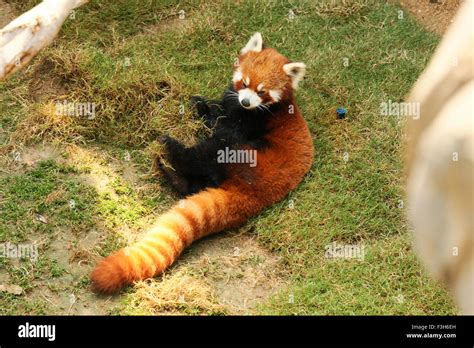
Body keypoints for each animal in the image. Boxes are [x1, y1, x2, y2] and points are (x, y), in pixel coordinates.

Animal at [91, 32, 314, 294]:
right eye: (245, 83)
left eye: (262, 92)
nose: (246, 102)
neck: (252, 110)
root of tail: (256, 195)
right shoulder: (232, 101)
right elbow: (217, 105)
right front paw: (197, 102)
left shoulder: (251, 122)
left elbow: (221, 125)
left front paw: (202, 115)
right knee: (196, 183)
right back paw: (172, 174)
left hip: (248, 158)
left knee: (208, 152)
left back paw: (171, 148)